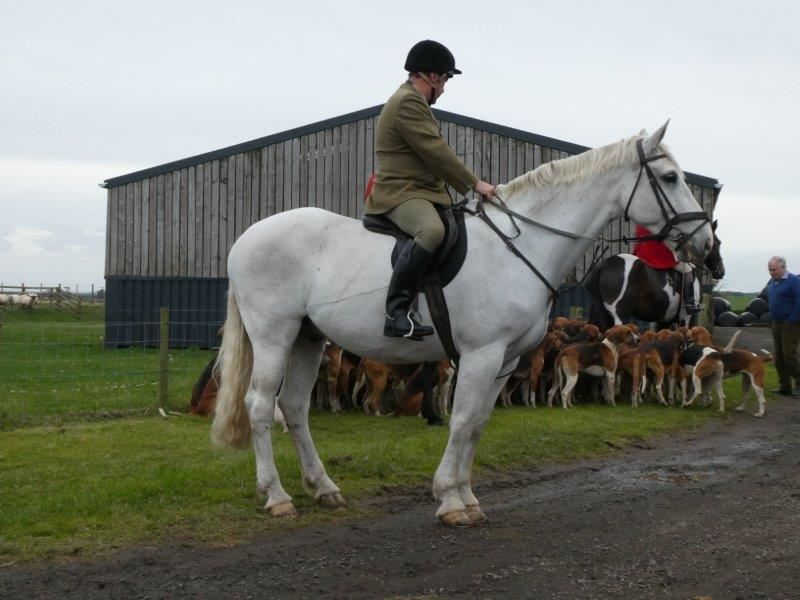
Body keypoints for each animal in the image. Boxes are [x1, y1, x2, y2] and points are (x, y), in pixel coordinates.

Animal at [586, 220, 724, 330]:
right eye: (717, 243)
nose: (721, 272)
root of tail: (602, 266)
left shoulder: (664, 320)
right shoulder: (685, 317)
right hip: (620, 315)